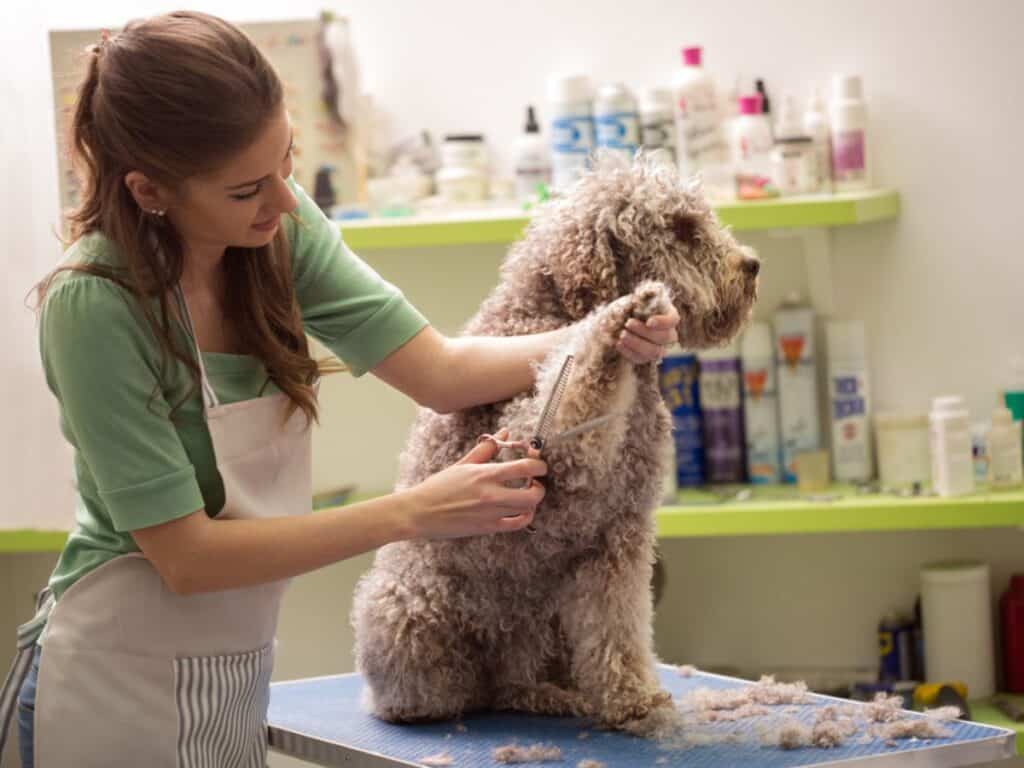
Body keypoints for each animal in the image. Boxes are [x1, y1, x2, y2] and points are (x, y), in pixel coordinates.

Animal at [352, 154, 761, 733]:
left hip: (544, 622)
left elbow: (618, 627)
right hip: (407, 602)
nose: (751, 265)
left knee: (513, 682)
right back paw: (431, 703)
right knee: (450, 689)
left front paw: (631, 696)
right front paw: (616, 324)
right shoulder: (525, 444)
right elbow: (580, 380)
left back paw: (552, 694)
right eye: (683, 228)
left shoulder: (618, 539)